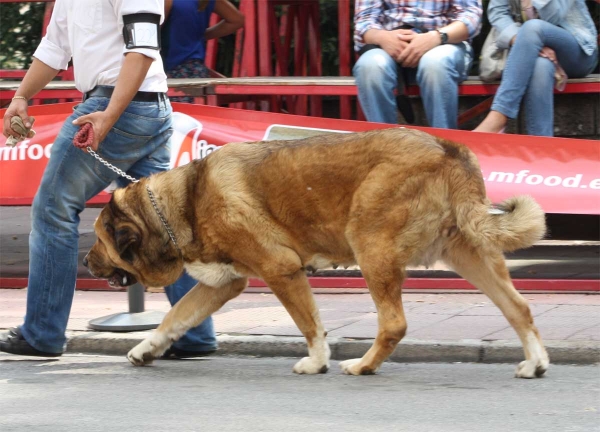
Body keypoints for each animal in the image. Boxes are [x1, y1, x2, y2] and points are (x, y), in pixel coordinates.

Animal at [84, 127, 548, 378]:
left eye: (98, 240)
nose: (84, 262)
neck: (181, 204)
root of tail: (448, 147)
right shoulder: (223, 285)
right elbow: (174, 317)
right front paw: (146, 348)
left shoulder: (282, 270)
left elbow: (309, 324)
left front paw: (317, 361)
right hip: (470, 253)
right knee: (519, 308)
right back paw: (535, 363)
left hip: (371, 247)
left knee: (394, 323)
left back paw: (363, 366)